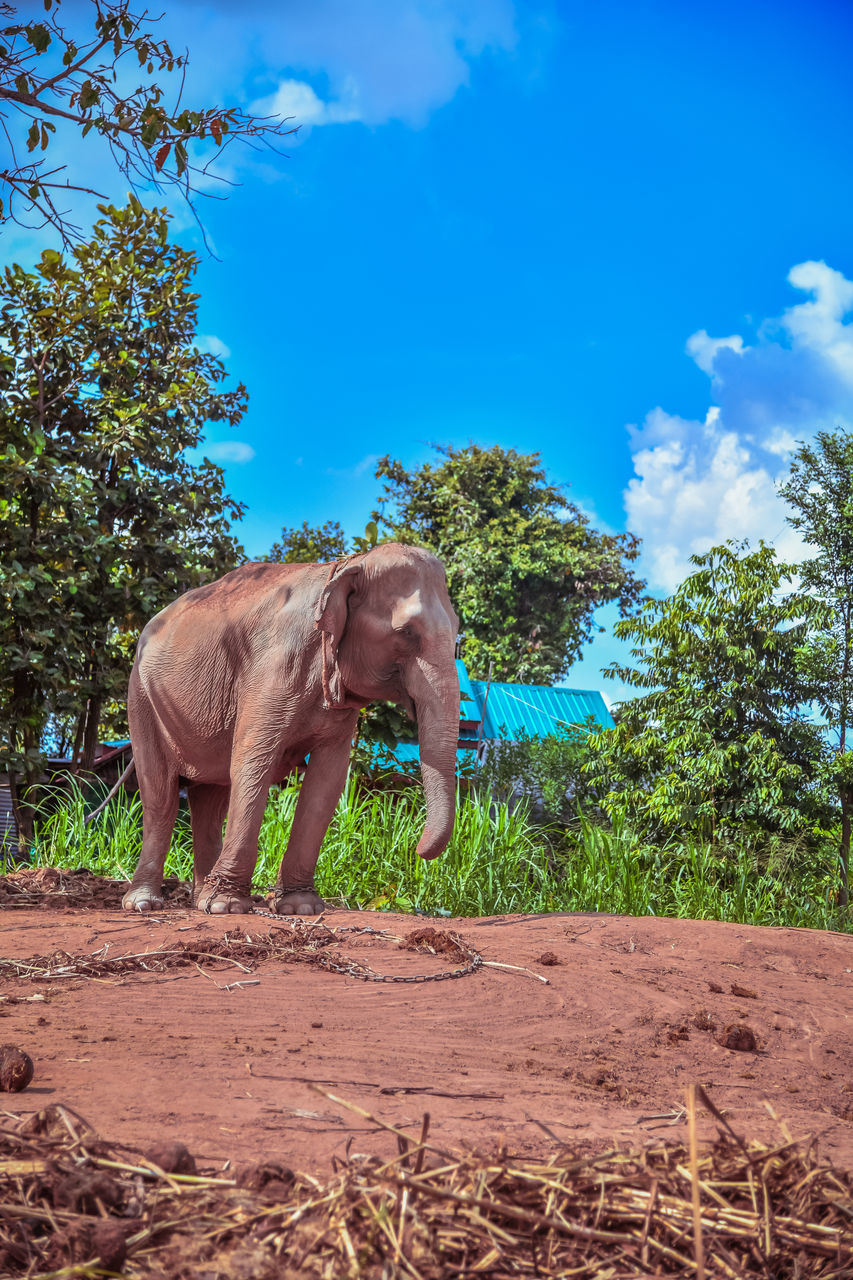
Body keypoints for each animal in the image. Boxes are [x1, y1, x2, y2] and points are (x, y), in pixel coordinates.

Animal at [119, 543, 460, 916]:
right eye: (407, 633)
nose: (417, 851)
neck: (344, 566)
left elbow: (327, 780)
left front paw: (300, 907)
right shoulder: (272, 669)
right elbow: (253, 764)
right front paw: (227, 907)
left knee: (209, 799)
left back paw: (199, 901)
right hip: (142, 698)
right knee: (160, 795)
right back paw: (144, 903)